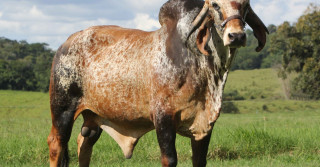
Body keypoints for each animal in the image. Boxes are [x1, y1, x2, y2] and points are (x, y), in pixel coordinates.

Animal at [47, 0, 268, 166]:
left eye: (246, 4)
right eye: (215, 4)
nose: (236, 35)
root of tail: (66, 42)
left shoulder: (205, 124)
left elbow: (200, 160)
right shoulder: (163, 118)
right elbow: (169, 159)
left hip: (94, 116)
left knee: (84, 143)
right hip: (63, 109)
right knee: (56, 144)